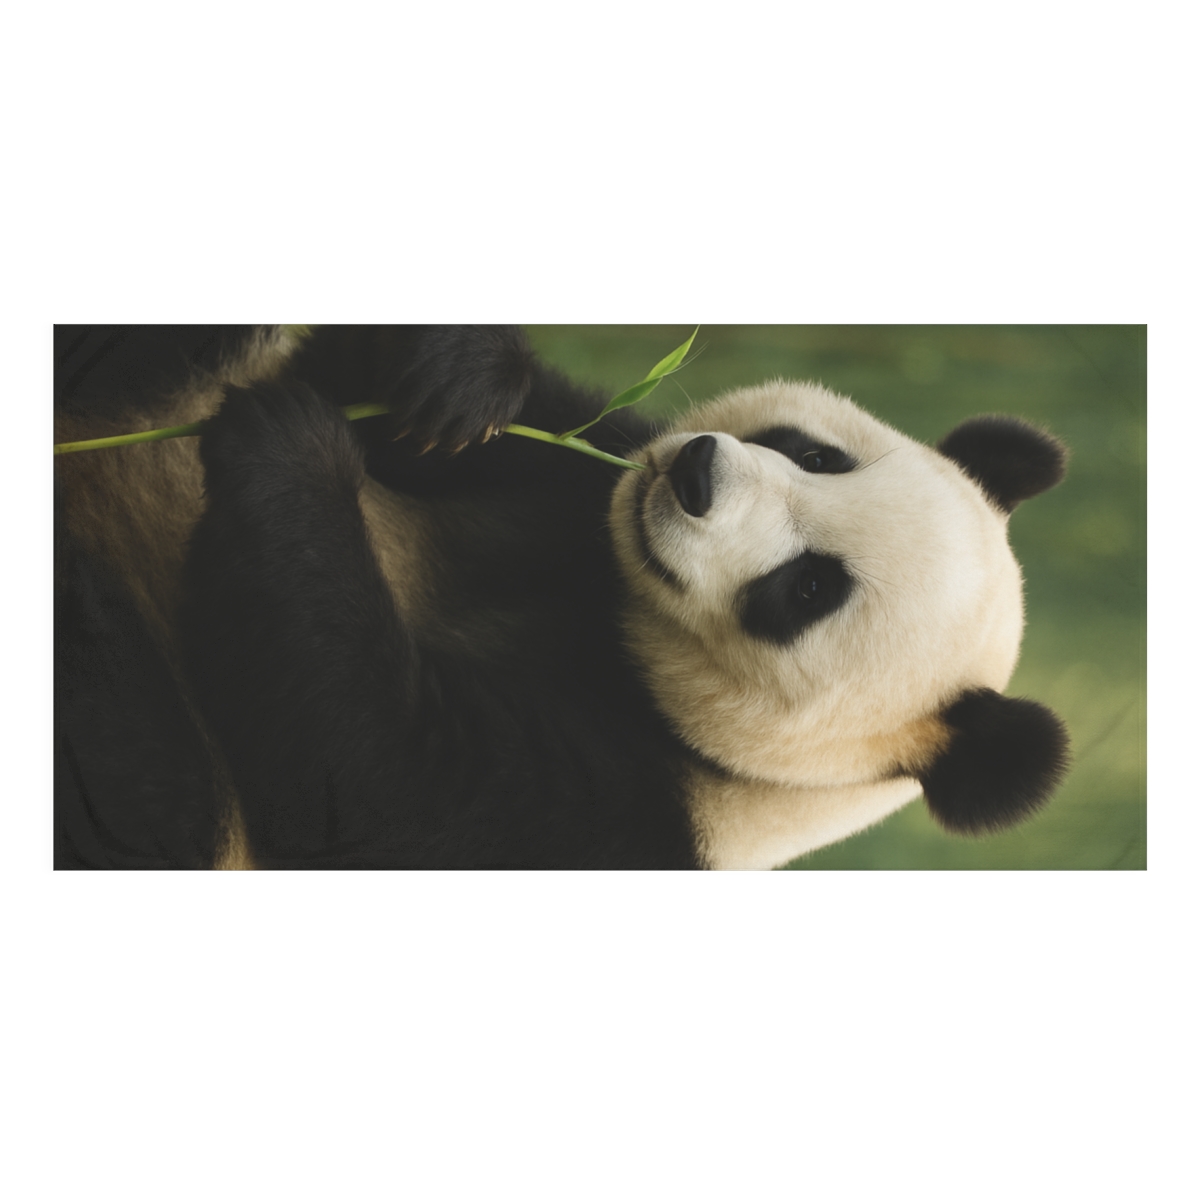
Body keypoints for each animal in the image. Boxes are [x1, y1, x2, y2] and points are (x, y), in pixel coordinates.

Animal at [53, 325, 1069, 870]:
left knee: (145, 780)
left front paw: (294, 453)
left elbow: (368, 785)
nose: (695, 474)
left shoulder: (613, 818)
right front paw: (460, 377)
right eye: (818, 455)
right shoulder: (577, 481)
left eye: (807, 588)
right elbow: (448, 413)